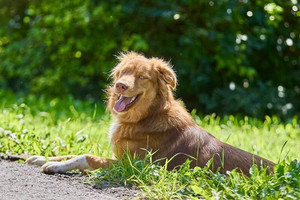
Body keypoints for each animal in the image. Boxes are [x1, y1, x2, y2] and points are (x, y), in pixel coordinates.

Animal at [26, 52, 274, 176]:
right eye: (123, 72)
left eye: (142, 77)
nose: (121, 86)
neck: (144, 117)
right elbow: (73, 152)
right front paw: (41, 157)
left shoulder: (132, 165)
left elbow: (86, 156)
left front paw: (56, 166)